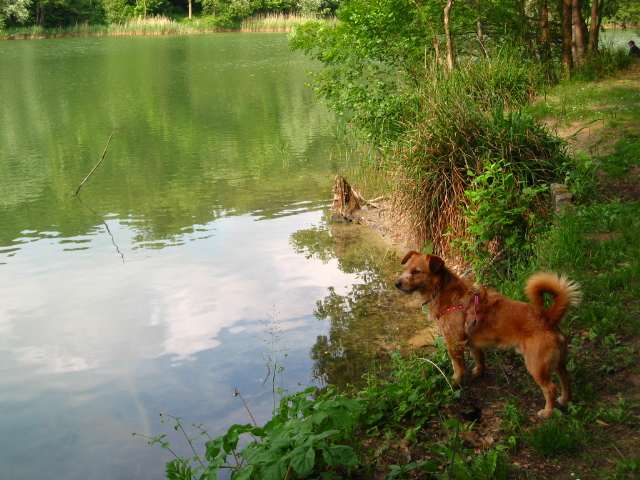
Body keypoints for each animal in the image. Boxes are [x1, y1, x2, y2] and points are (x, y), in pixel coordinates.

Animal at [396, 253, 580, 418]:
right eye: (406, 268)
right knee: (566, 378)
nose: (396, 283)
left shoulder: (454, 344)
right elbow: (478, 358)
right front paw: (478, 372)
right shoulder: (473, 342)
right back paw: (566, 399)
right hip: (558, 362)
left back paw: (548, 412)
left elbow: (458, 367)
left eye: (417, 271)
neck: (446, 292)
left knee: (550, 388)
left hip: (536, 364)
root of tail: (548, 317)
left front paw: (455, 382)